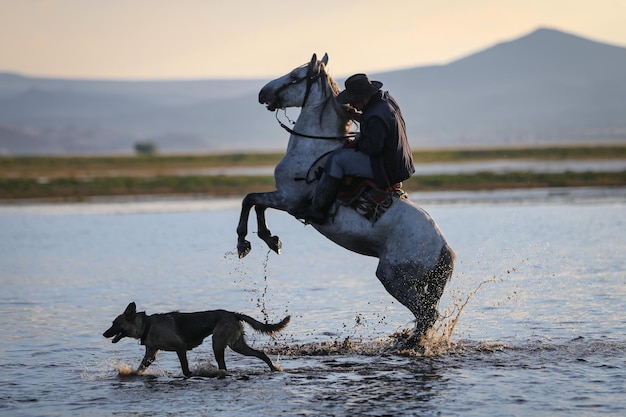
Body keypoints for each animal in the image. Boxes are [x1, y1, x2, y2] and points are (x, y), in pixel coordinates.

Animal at [102, 300, 290, 376]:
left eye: (115, 324)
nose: (104, 334)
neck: (146, 325)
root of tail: (233, 314)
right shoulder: (150, 354)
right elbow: (140, 368)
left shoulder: (180, 348)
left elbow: (185, 369)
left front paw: (190, 374)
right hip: (237, 346)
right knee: (261, 354)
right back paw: (273, 368)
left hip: (218, 344)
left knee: (224, 366)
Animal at [235, 53, 454, 340]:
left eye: (295, 76)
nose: (263, 93)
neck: (312, 147)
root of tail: (442, 247)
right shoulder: (282, 198)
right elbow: (256, 205)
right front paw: (271, 240)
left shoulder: (288, 199)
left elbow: (250, 199)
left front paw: (244, 243)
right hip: (416, 284)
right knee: (427, 315)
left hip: (394, 278)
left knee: (427, 314)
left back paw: (409, 343)